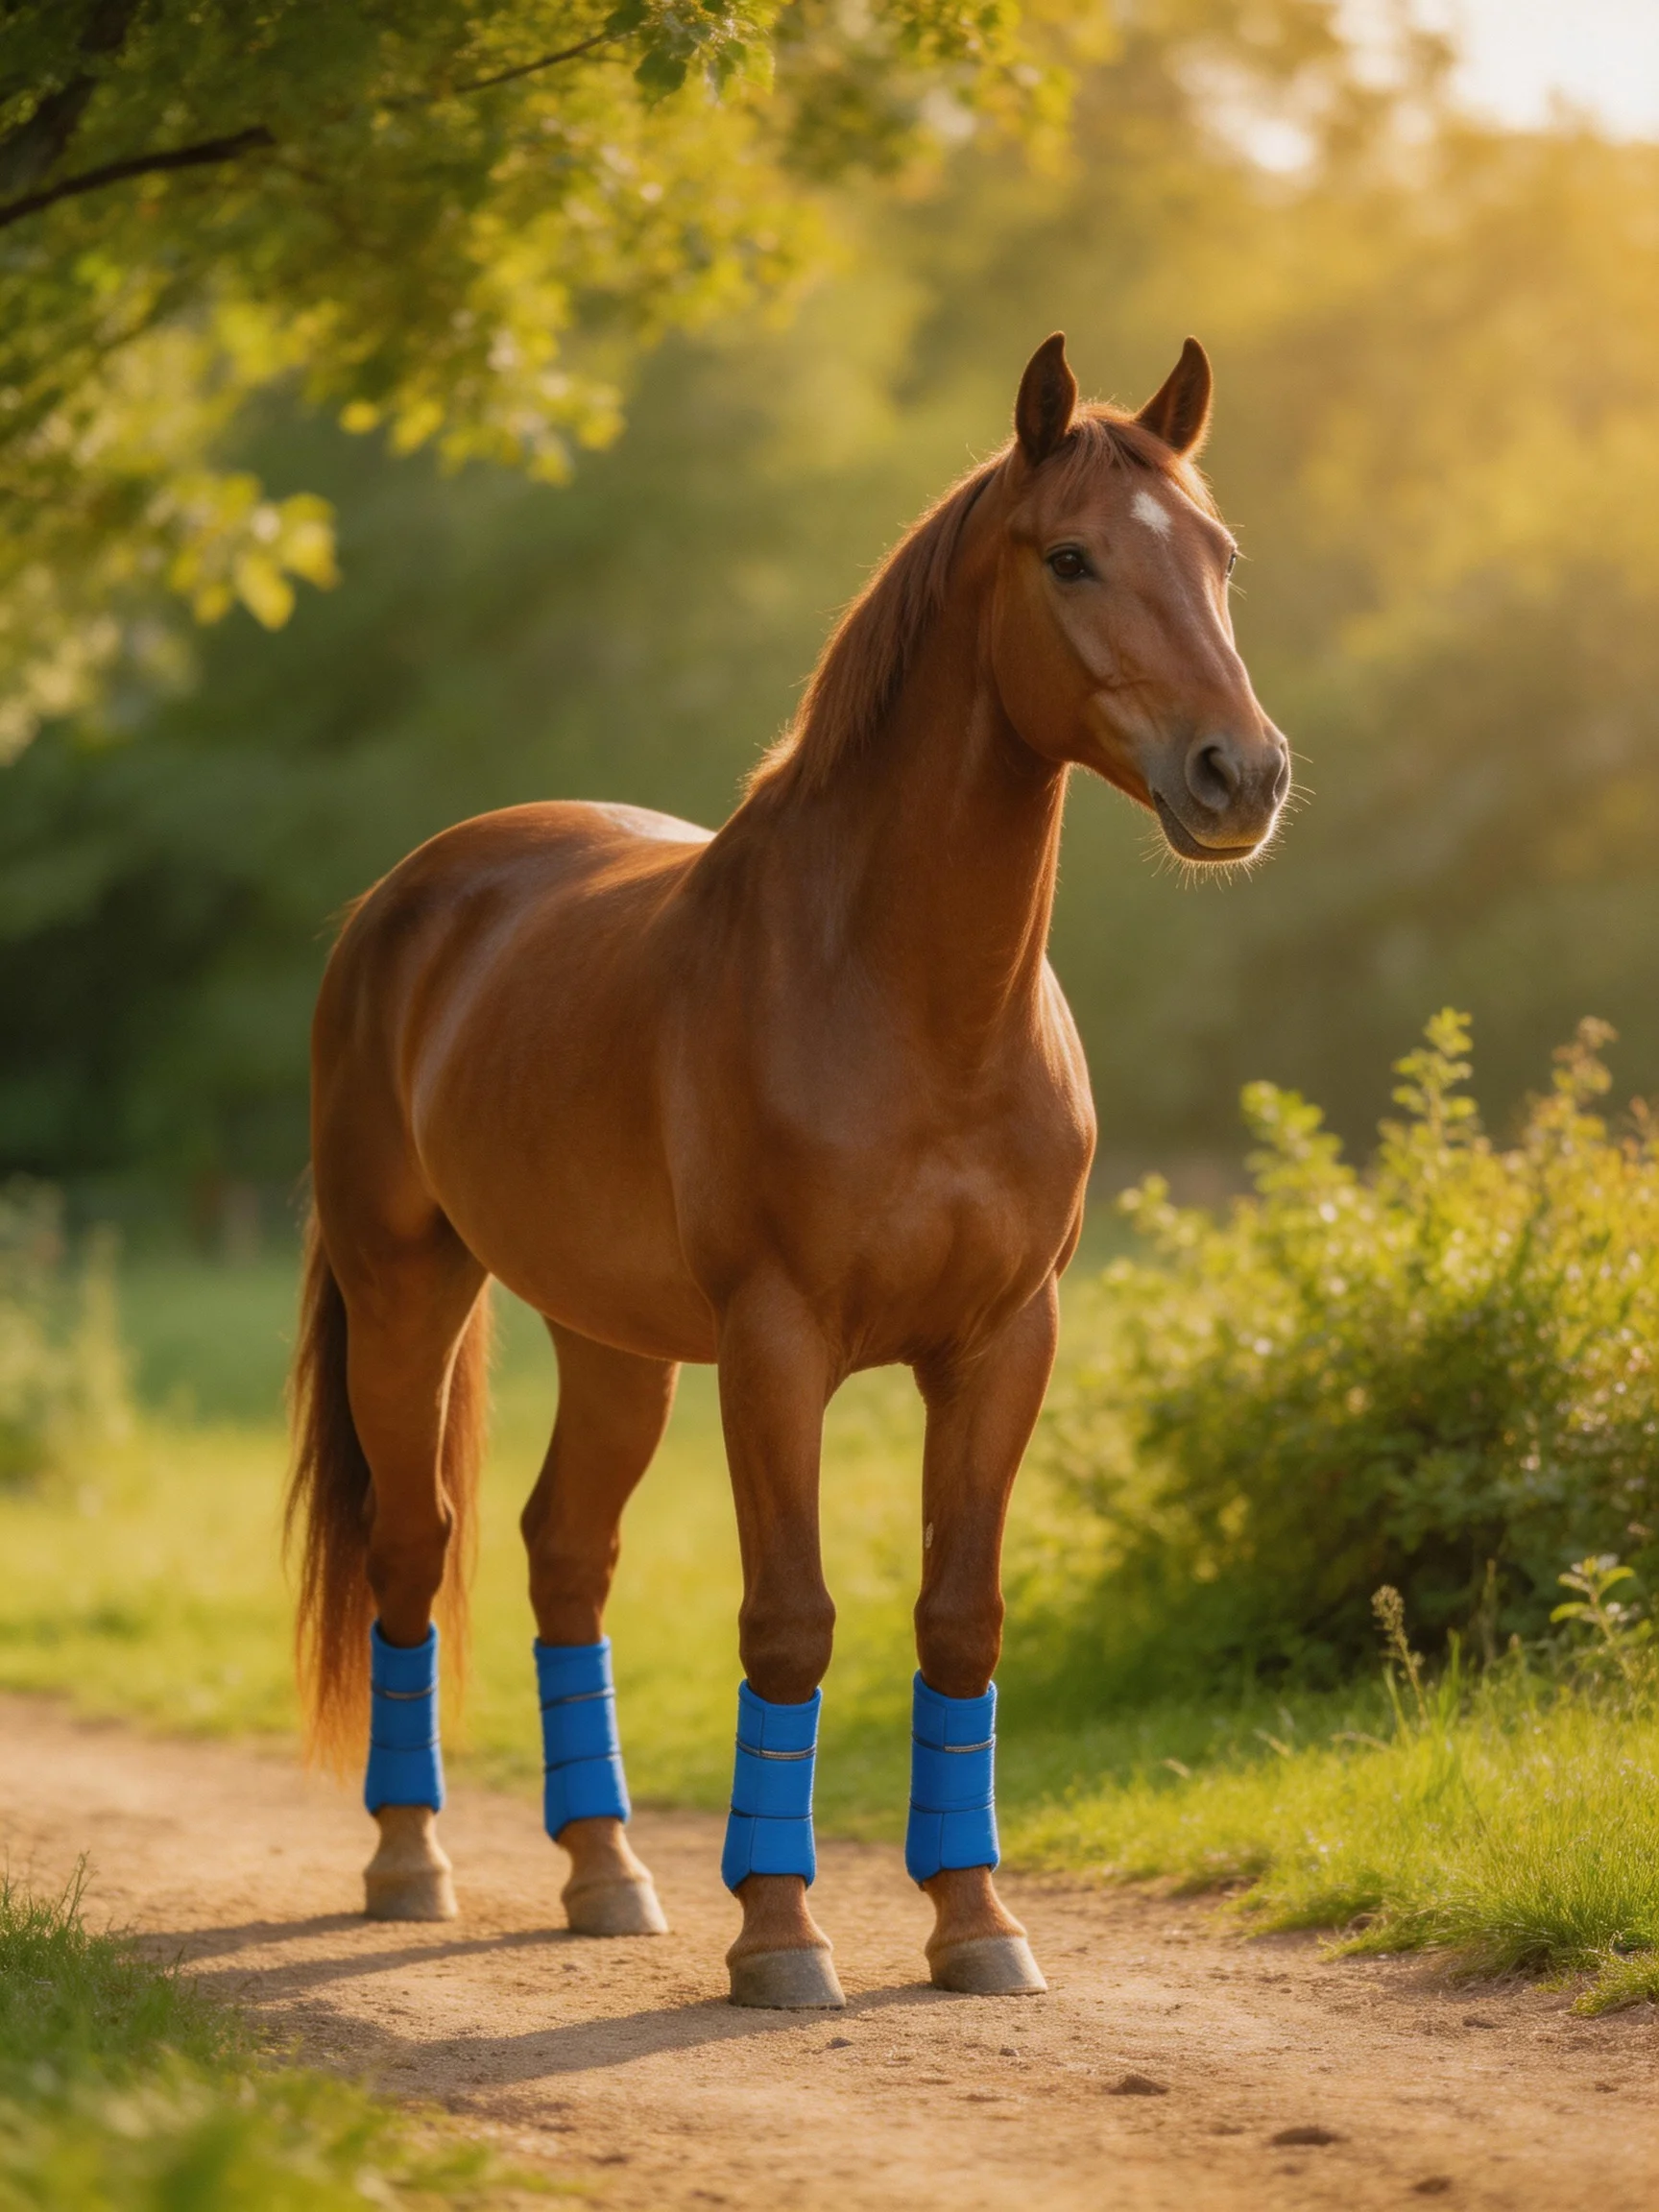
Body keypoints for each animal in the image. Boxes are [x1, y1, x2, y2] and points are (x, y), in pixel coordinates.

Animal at [285, 331, 1288, 2009]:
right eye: (1072, 557)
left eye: (1217, 557)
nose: (1241, 776)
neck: (909, 1001)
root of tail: (406, 897)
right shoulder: (777, 1346)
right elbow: (791, 1624)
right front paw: (780, 1933)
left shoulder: (1003, 1344)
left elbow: (960, 1622)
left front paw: (976, 1923)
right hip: (407, 1291)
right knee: (416, 1551)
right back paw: (412, 1863)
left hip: (612, 1343)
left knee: (566, 1553)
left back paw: (608, 1873)